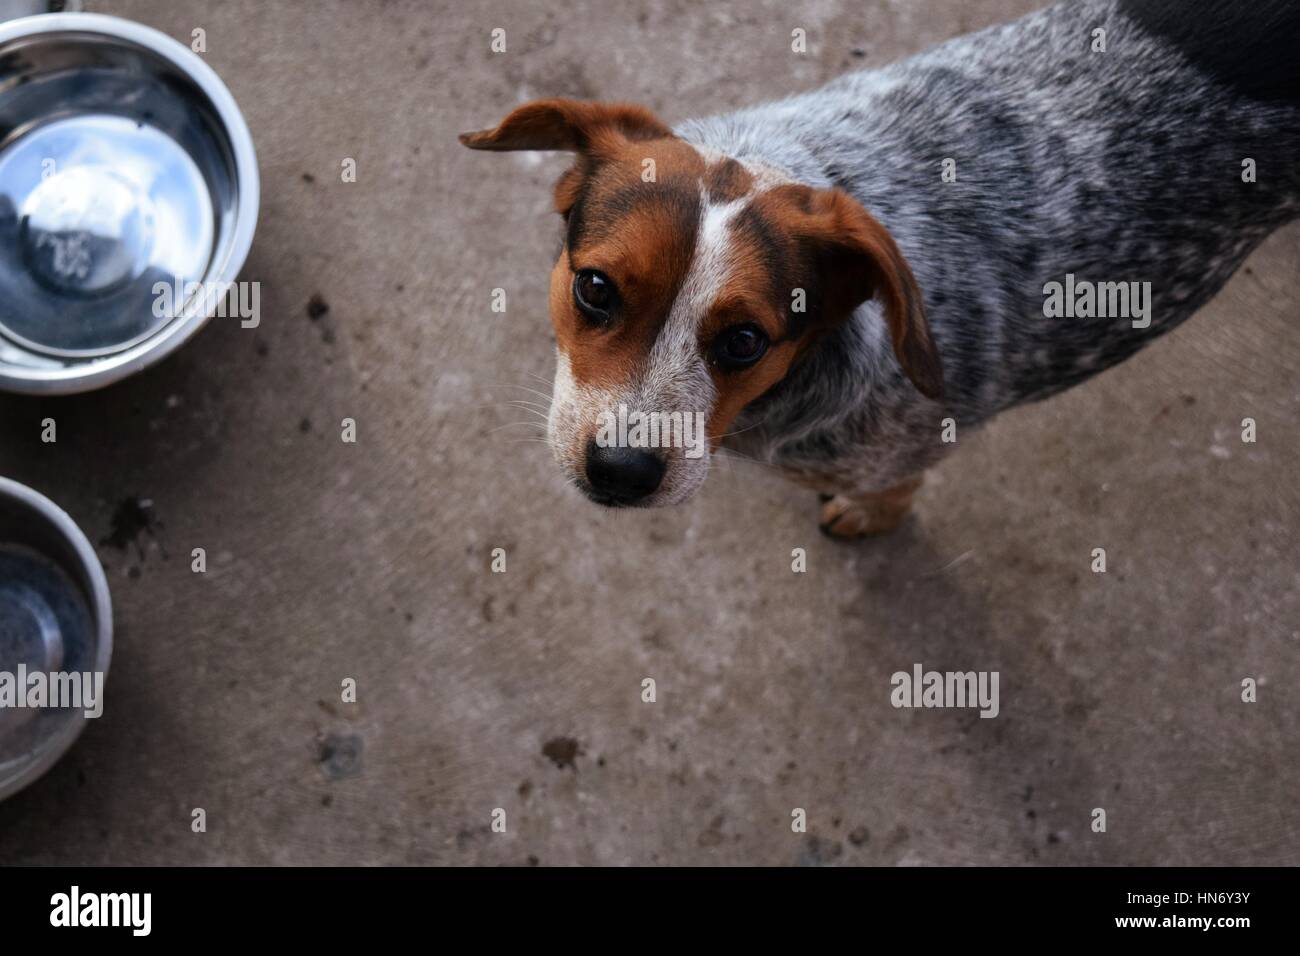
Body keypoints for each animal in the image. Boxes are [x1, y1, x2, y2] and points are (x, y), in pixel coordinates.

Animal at [462, 0, 1294, 538]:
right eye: (595, 289)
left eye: (744, 341)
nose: (621, 471)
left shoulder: (902, 451)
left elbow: (894, 490)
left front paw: (868, 516)